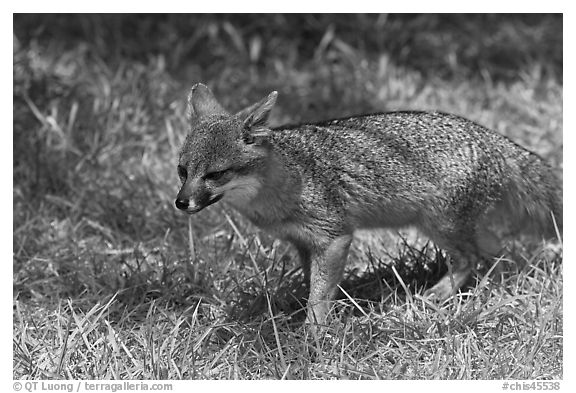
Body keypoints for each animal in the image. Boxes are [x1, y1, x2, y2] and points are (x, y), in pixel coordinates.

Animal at [174, 83, 564, 324]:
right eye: (182, 171)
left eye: (215, 174)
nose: (181, 203)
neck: (288, 178)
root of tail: (490, 136)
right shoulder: (303, 242)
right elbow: (312, 286)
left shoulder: (335, 237)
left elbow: (319, 298)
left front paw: (311, 337)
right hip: (457, 227)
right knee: (495, 252)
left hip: (441, 226)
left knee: (473, 258)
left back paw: (434, 296)